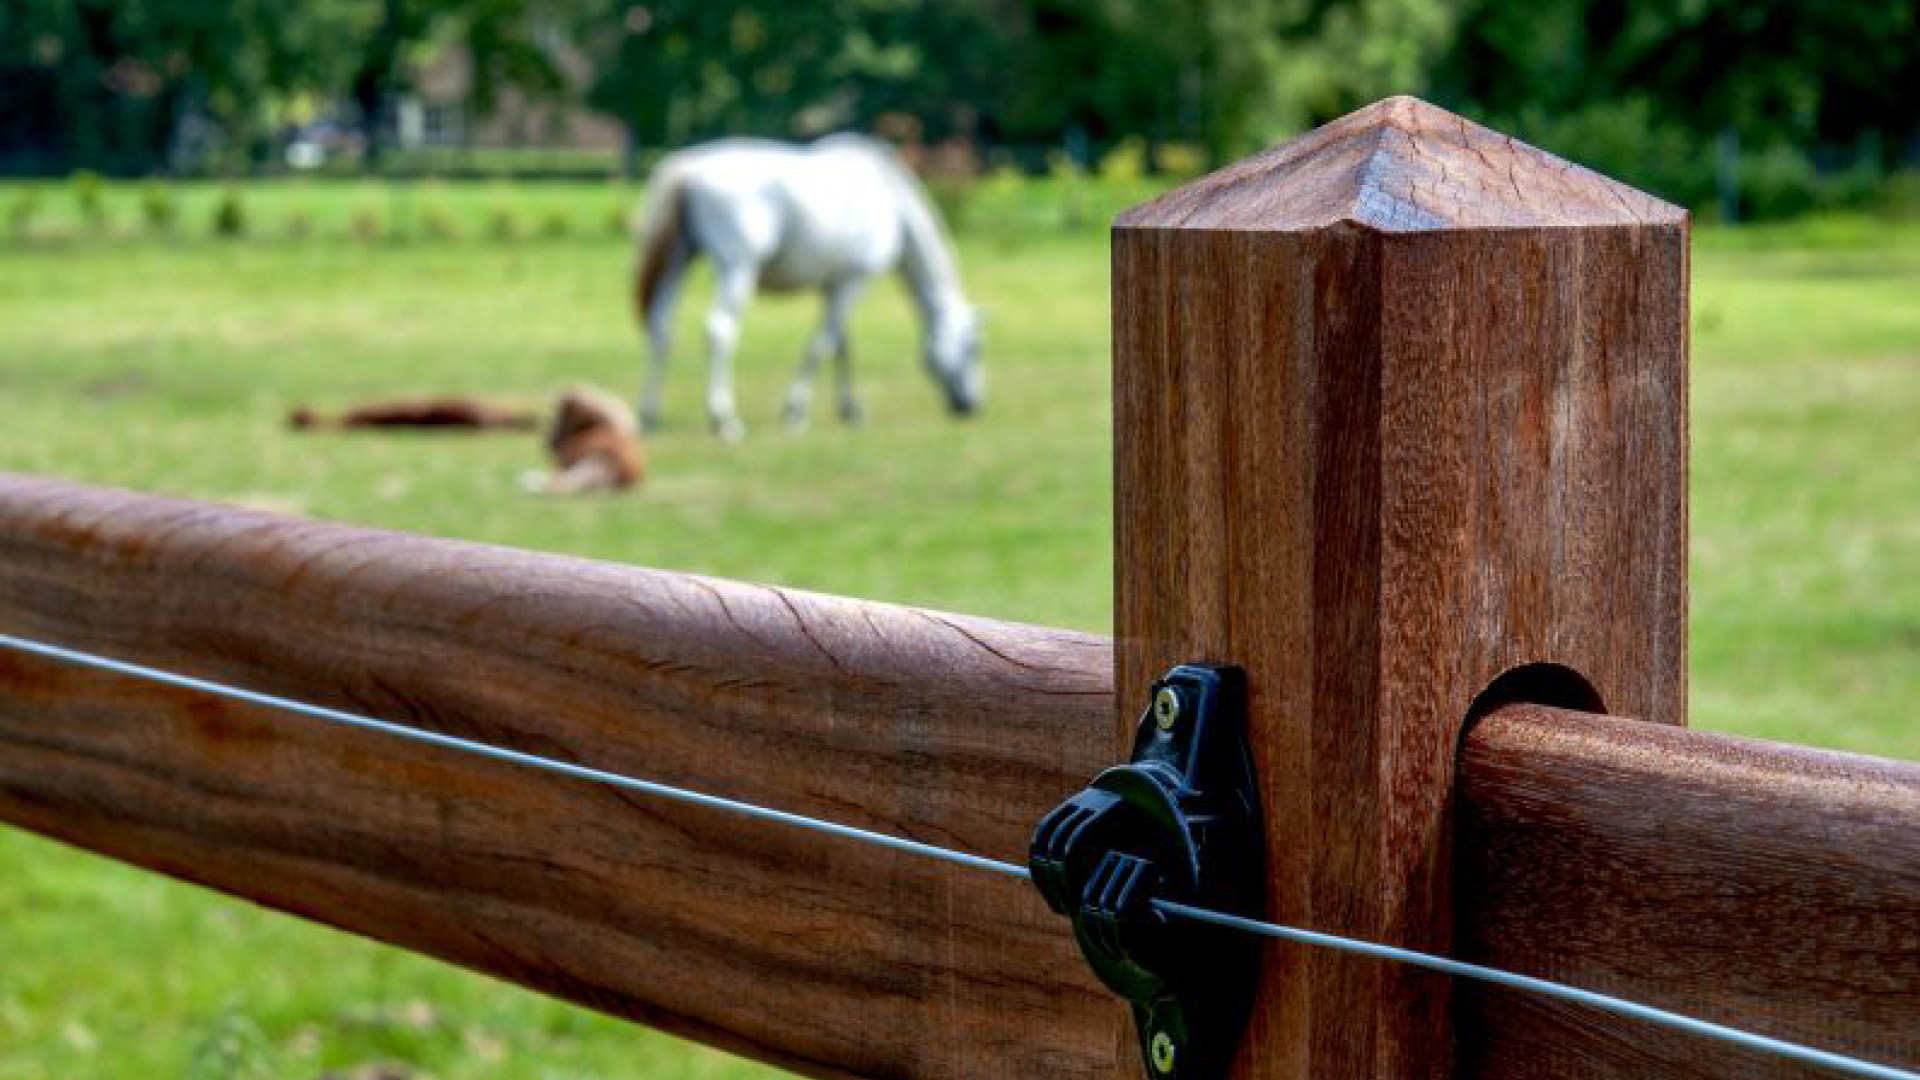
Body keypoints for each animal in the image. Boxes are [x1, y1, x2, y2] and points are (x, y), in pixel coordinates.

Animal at [629, 136, 983, 440]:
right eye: (975, 347)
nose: (972, 405)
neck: (890, 201)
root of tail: (691, 167)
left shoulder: (832, 284)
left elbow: (842, 345)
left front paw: (850, 410)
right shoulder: (854, 279)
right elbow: (822, 344)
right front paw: (795, 412)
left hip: (679, 260)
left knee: (661, 327)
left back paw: (649, 415)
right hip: (737, 267)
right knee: (720, 329)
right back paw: (724, 420)